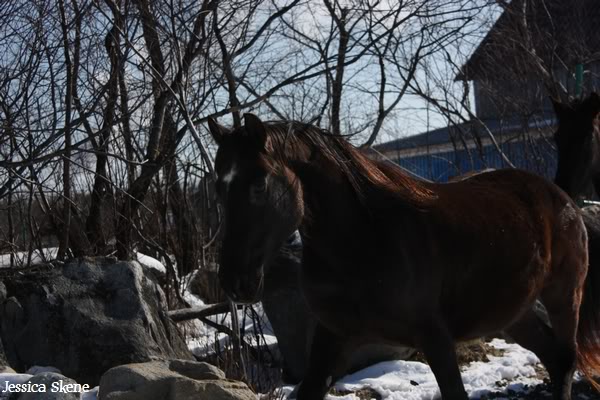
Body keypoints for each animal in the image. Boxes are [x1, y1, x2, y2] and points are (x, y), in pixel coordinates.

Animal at [209, 114, 596, 400]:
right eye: (219, 188)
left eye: (259, 184)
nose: (234, 281)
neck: (363, 240)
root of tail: (562, 197)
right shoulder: (333, 336)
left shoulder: (435, 338)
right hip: (513, 313)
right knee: (554, 359)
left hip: (564, 296)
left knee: (566, 359)